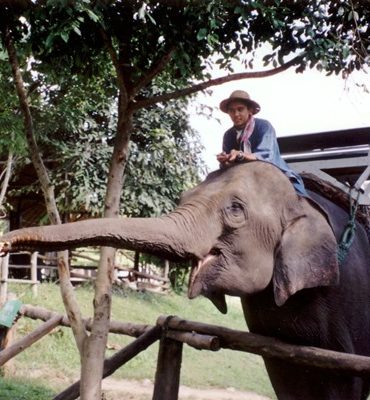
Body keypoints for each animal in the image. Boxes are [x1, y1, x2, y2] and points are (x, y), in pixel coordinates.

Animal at [0, 160, 370, 400]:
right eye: (182, 198)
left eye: (235, 209)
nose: (5, 242)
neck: (303, 199)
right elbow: (285, 375)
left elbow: (345, 381)